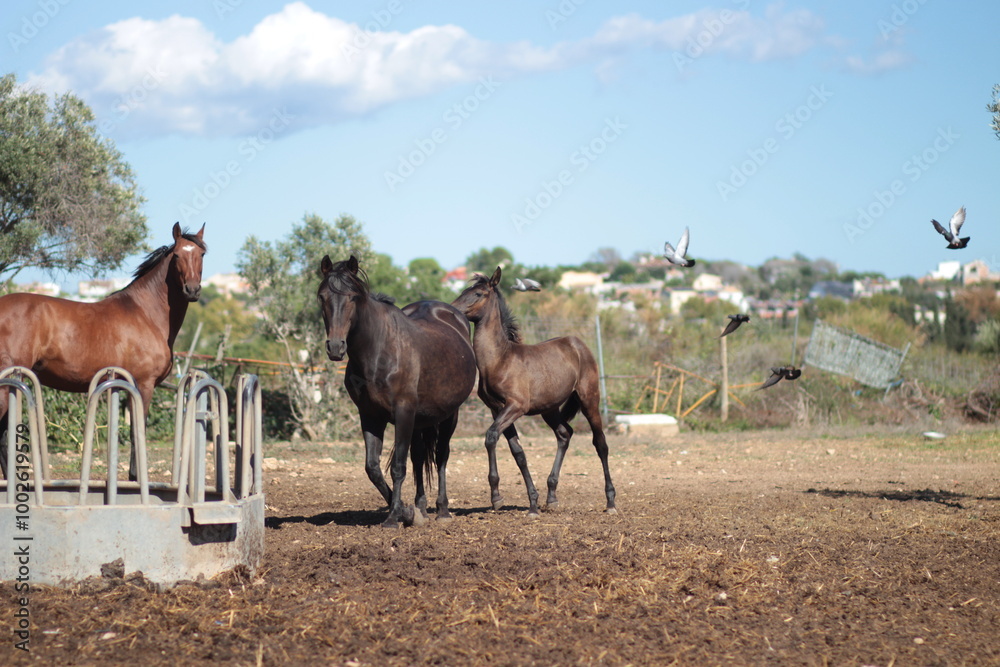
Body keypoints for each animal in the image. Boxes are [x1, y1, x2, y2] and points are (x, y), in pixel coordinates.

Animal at [0, 222, 206, 478]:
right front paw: (136, 479)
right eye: (177, 255)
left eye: (201, 254)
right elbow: (137, 433)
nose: (192, 290)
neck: (146, 313)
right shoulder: (144, 384)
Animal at [318, 255, 477, 528]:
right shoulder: (370, 416)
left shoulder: (403, 411)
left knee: (441, 456)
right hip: (421, 420)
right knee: (419, 456)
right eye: (322, 297)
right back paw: (421, 508)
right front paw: (405, 510)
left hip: (450, 414)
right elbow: (373, 468)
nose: (336, 347)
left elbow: (398, 467)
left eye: (353, 297)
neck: (379, 350)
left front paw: (393, 517)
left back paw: (443, 510)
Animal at [451, 266, 617, 517]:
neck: (500, 359)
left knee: (601, 443)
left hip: (589, 400)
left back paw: (610, 502)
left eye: (478, 293)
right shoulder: (497, 409)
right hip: (549, 409)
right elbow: (517, 452)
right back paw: (552, 497)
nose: (453, 310)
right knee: (564, 434)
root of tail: (578, 344)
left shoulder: (516, 406)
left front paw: (498, 497)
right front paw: (530, 502)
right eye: (464, 291)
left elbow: (491, 436)